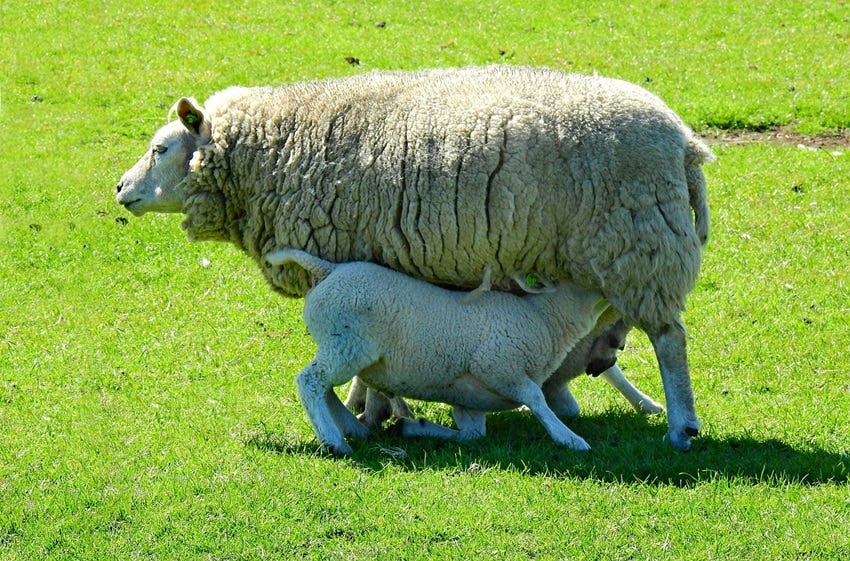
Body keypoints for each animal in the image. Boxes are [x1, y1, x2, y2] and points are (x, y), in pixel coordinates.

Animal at [266, 248, 612, 455]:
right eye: (581, 275)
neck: (545, 318)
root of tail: (329, 269)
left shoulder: (470, 400)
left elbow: (473, 434)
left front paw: (415, 428)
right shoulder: (498, 366)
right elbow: (536, 399)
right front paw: (569, 438)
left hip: (342, 348)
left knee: (324, 388)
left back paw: (353, 429)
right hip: (346, 343)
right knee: (310, 382)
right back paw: (334, 441)